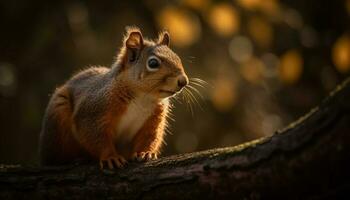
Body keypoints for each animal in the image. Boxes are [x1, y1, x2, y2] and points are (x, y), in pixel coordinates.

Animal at [38, 25, 189, 169]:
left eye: (178, 58)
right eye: (153, 63)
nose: (183, 81)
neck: (143, 98)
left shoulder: (154, 119)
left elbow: (150, 137)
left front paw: (145, 153)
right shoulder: (93, 112)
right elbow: (96, 137)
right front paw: (111, 158)